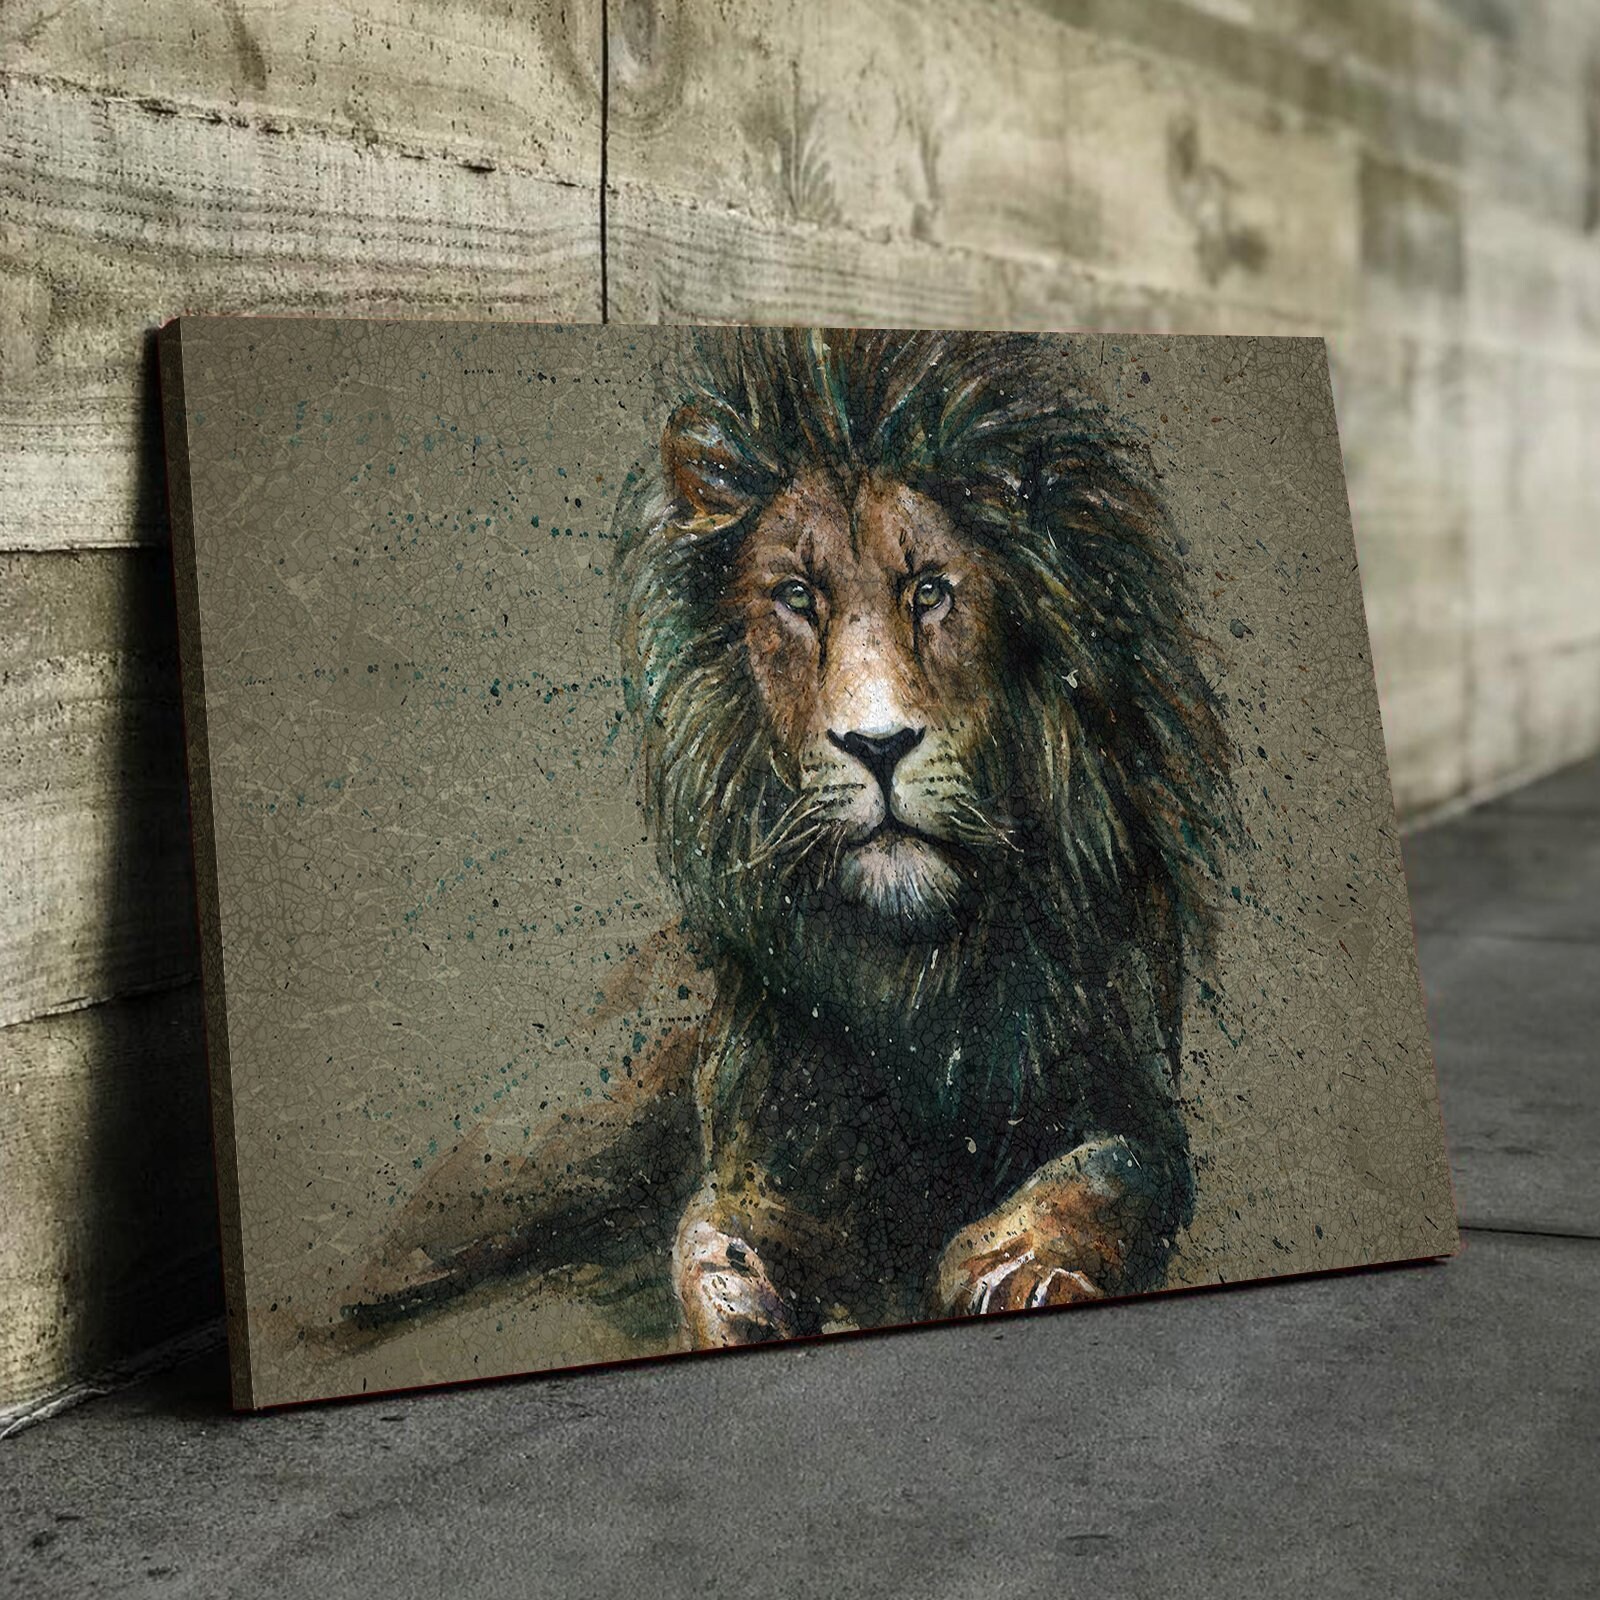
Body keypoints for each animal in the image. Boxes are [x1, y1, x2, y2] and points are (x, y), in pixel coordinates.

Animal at [345, 328, 1239, 1352]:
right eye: (797, 597)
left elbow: (1100, 1180)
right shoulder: (762, 1159)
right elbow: (709, 1245)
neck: (912, 968)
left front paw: (1014, 1272)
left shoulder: (1131, 1101)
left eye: (931, 591)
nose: (878, 744)